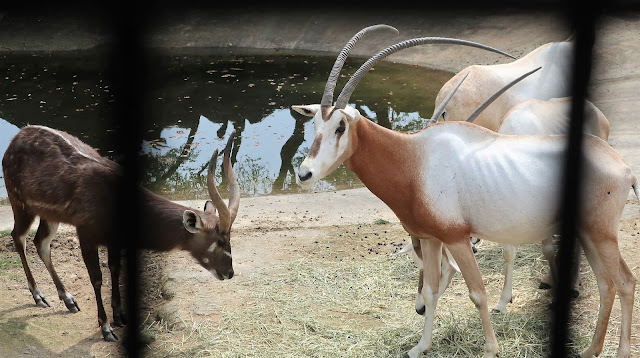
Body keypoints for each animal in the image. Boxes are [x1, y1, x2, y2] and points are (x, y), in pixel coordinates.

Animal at [1, 125, 240, 342]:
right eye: (220, 241)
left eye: (230, 238)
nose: (229, 273)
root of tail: (15, 140)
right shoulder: (86, 233)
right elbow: (97, 278)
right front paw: (107, 329)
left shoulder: (113, 240)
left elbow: (115, 270)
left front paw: (120, 316)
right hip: (20, 204)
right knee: (18, 237)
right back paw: (38, 296)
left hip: (49, 216)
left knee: (40, 242)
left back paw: (68, 300)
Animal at [292, 35, 636, 356]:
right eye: (315, 123)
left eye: (340, 127)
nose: (304, 174)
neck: (413, 158)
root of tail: (623, 166)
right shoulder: (431, 238)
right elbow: (432, 291)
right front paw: (420, 347)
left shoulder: (456, 238)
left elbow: (477, 292)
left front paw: (491, 348)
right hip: (588, 233)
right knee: (606, 284)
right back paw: (590, 350)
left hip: (601, 234)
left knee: (625, 282)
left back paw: (618, 350)